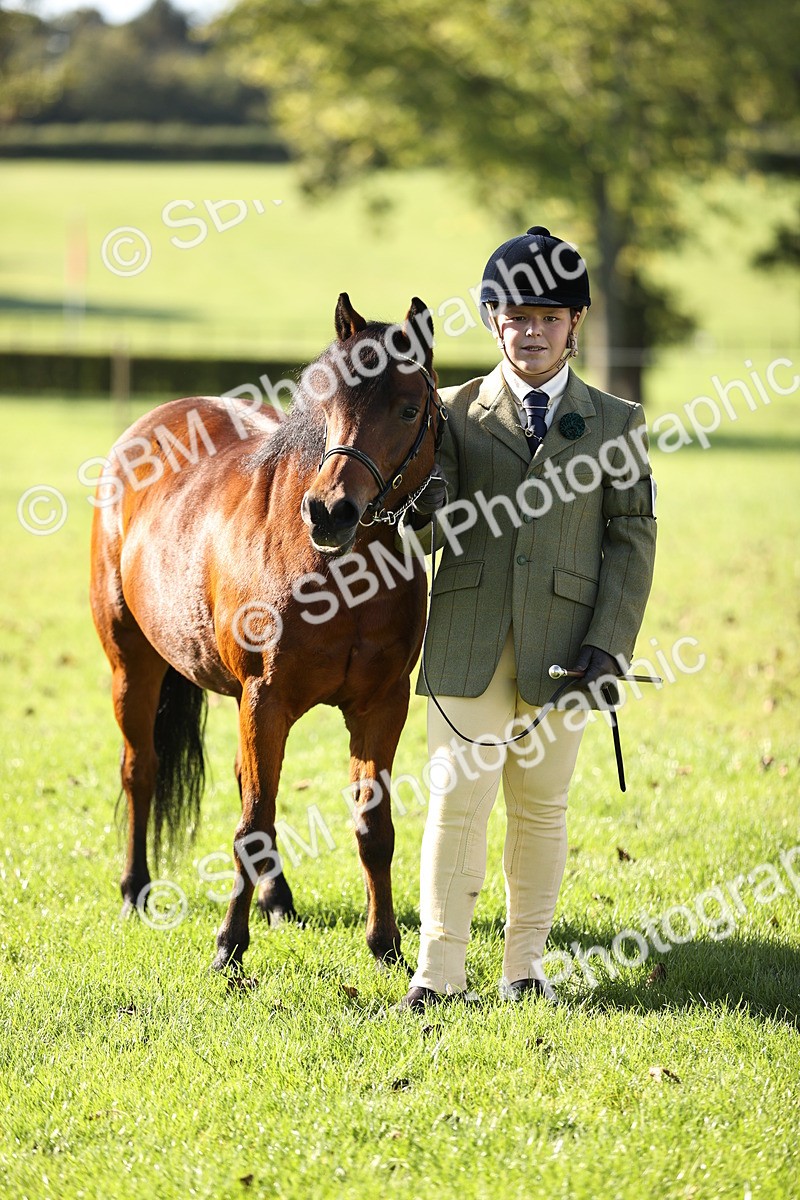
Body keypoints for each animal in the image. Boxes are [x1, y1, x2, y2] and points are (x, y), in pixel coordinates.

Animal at [89, 293, 444, 977]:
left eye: (409, 408)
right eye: (326, 406)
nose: (330, 511)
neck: (342, 574)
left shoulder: (381, 705)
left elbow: (373, 827)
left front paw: (384, 943)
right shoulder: (266, 698)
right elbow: (252, 826)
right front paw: (229, 947)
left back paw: (277, 899)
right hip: (132, 666)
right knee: (140, 769)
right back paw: (134, 889)